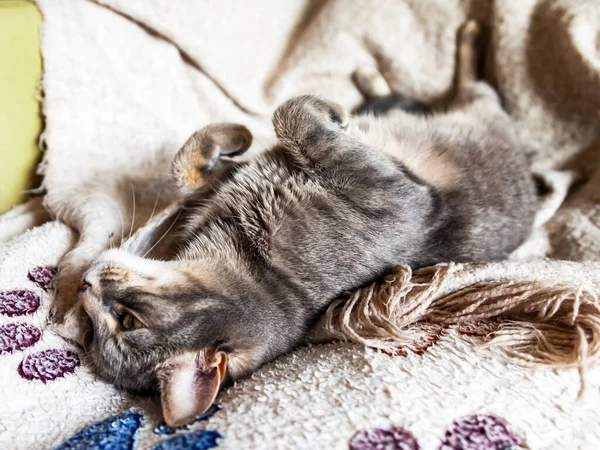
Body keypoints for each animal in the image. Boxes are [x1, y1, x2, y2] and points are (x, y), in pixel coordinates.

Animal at [69, 21, 536, 428]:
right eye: (93, 334)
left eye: (128, 321)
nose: (83, 286)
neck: (257, 265)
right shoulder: (391, 193)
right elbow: (289, 113)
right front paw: (330, 113)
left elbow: (200, 160)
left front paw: (234, 136)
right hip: (482, 110)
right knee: (476, 86)